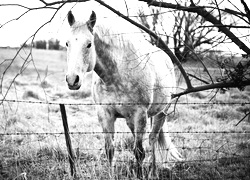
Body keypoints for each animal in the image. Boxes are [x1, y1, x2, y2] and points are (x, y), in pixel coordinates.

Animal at [65, 10, 181, 179]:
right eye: (67, 43)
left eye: (89, 44)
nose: (72, 79)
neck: (116, 75)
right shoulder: (105, 114)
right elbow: (110, 150)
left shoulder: (140, 114)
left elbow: (139, 152)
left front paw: (140, 175)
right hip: (132, 120)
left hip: (161, 113)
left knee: (152, 139)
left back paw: (153, 172)